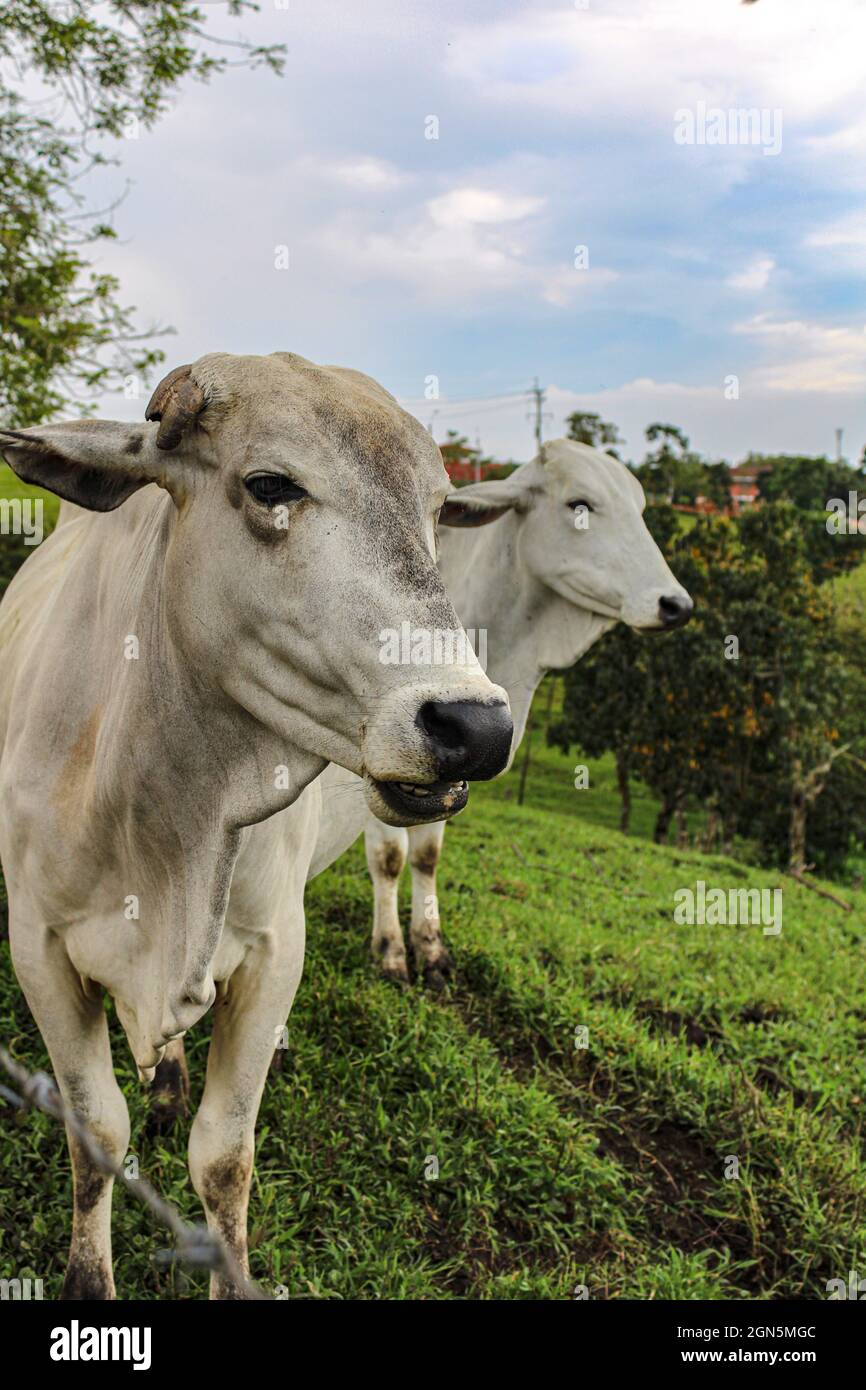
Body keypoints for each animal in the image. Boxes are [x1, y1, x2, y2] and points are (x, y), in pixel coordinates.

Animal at [0, 351, 513, 1299]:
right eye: (272, 484)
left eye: (435, 513)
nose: (476, 726)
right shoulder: (40, 950)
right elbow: (98, 1134)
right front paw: (89, 1277)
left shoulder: (275, 951)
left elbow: (223, 1160)